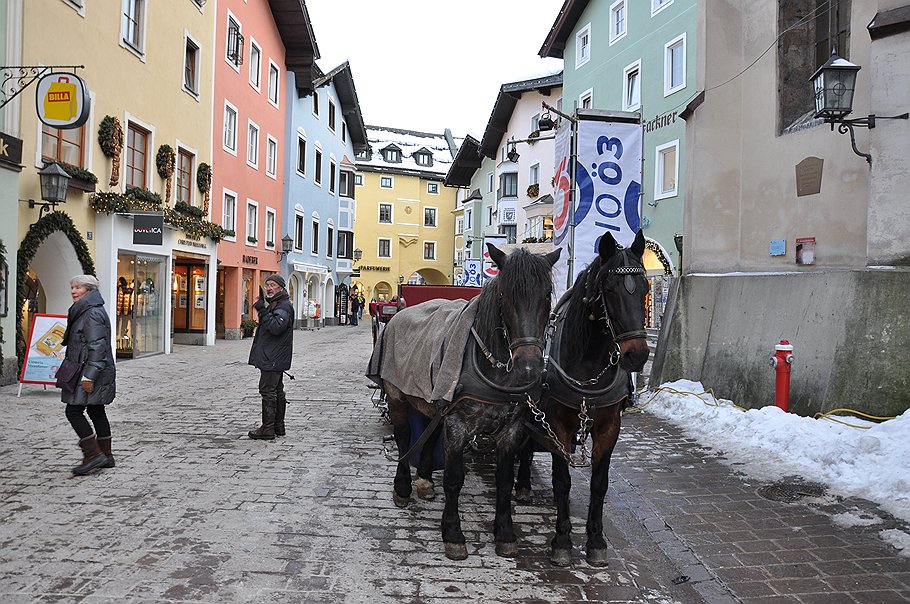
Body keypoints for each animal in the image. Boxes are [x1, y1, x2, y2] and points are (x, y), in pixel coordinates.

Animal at [372, 243, 564, 560]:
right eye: (505, 294)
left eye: (547, 293)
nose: (529, 367)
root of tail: (401, 314)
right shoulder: (457, 425)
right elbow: (454, 478)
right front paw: (452, 533)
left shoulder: (511, 430)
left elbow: (503, 480)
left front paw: (505, 533)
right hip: (398, 396)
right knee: (404, 438)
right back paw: (403, 487)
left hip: (433, 402)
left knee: (429, 434)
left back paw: (424, 480)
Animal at [520, 230, 648, 568]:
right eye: (610, 289)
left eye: (645, 288)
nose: (638, 355)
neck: (589, 364)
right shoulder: (558, 426)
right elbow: (562, 479)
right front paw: (562, 541)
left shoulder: (609, 427)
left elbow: (599, 483)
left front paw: (596, 540)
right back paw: (522, 484)